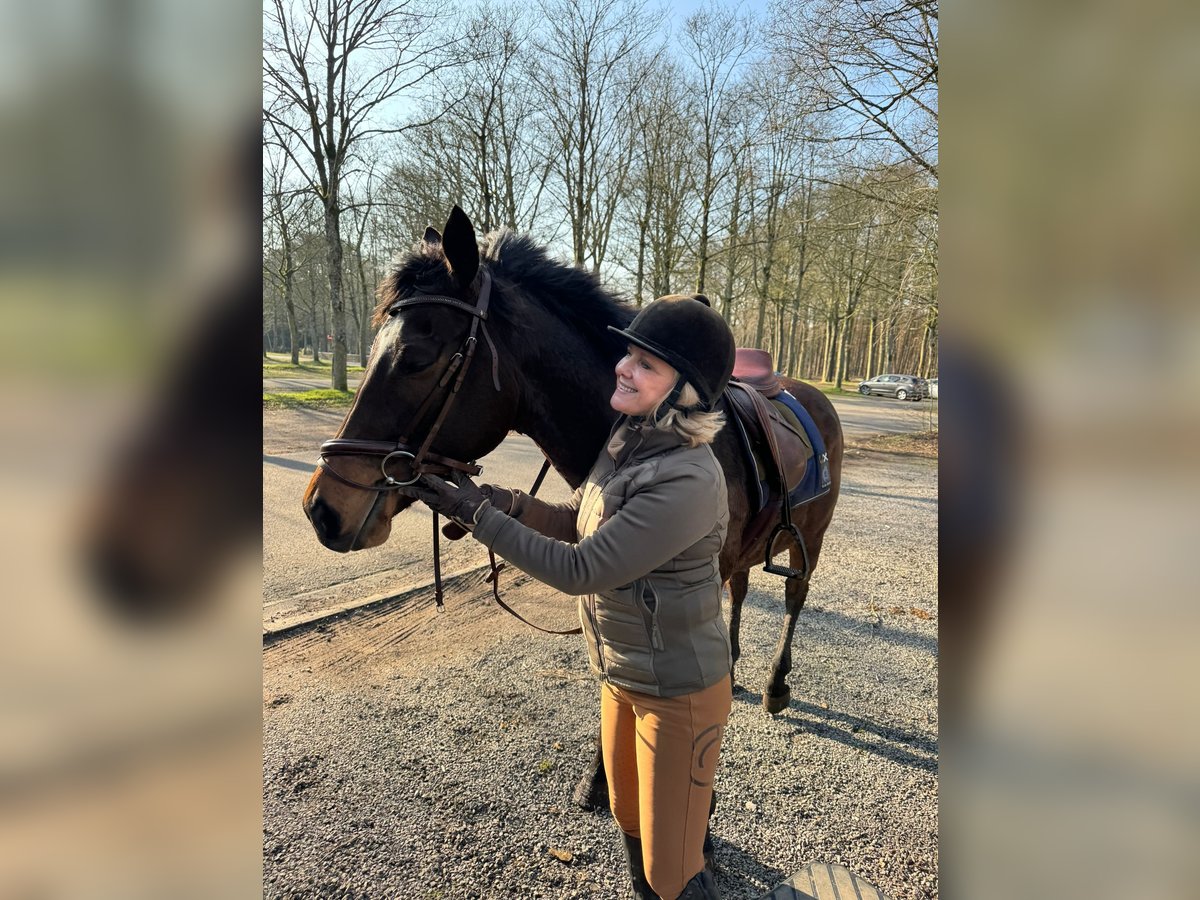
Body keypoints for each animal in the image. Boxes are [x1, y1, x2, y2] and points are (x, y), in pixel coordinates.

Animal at [300, 210, 844, 801]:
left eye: (415, 359)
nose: (321, 508)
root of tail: (810, 394)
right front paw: (604, 778)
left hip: (810, 541)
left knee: (793, 599)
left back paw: (775, 685)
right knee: (742, 591)